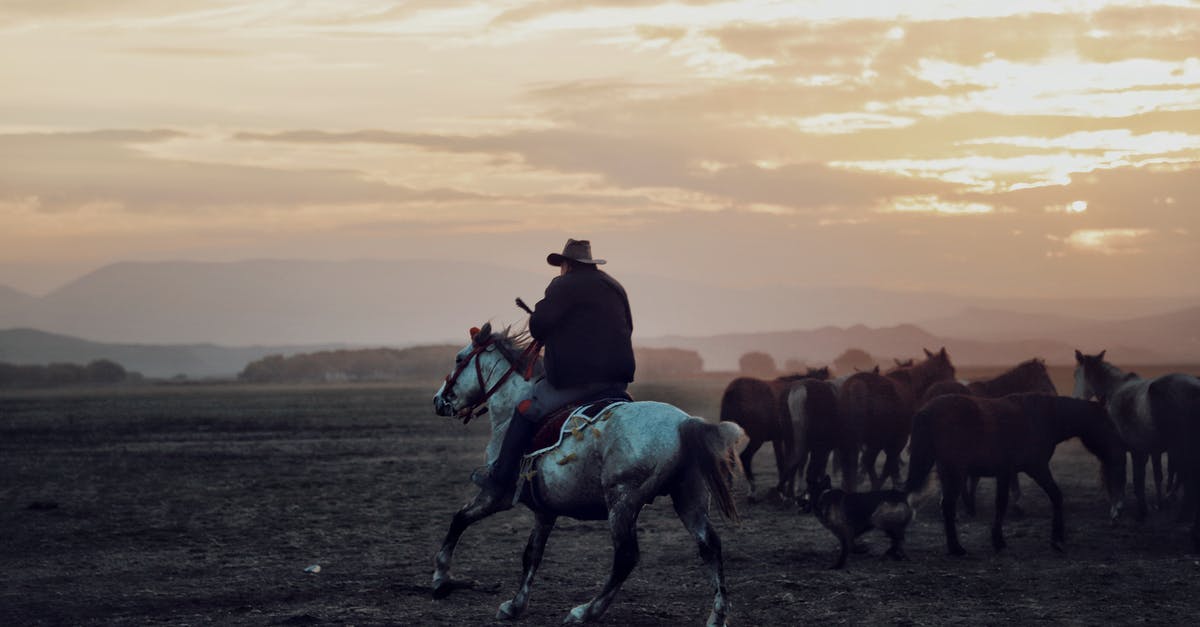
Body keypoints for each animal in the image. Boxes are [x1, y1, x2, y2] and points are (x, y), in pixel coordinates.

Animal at [432, 319, 739, 619]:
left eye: (459, 358)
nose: (438, 400)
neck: (510, 406)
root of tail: (683, 423)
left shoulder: (498, 496)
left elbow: (460, 519)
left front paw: (441, 579)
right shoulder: (545, 510)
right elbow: (532, 553)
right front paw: (516, 605)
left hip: (622, 502)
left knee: (626, 557)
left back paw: (586, 611)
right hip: (689, 497)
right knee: (710, 545)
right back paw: (717, 616)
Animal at [715, 365, 830, 497]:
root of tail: (733, 390)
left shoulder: (779, 439)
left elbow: (784, 462)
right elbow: (792, 462)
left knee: (729, 459)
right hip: (757, 438)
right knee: (745, 457)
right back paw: (752, 490)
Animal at [835, 345, 955, 487]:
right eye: (951, 368)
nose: (954, 388)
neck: (913, 389)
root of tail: (856, 385)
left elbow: (890, 467)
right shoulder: (898, 438)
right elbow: (890, 466)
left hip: (851, 439)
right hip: (876, 439)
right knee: (867, 462)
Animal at [902, 393, 1128, 554]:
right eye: (1108, 423)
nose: (1119, 447)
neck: (1043, 418)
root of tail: (926, 411)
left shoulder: (1005, 472)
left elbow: (1001, 504)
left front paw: (998, 540)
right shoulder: (1037, 468)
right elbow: (1056, 496)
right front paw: (1057, 539)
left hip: (946, 472)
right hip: (955, 473)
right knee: (947, 506)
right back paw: (956, 548)